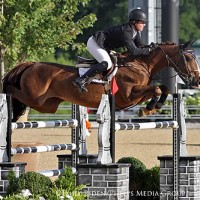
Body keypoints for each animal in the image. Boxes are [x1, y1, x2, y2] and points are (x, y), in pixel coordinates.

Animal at [2, 41, 200, 121]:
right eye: (189, 58)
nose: (197, 81)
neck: (139, 64)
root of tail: (31, 64)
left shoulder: (136, 96)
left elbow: (163, 88)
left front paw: (151, 109)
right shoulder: (128, 95)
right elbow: (157, 89)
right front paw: (149, 108)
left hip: (47, 105)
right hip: (34, 97)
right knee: (13, 91)